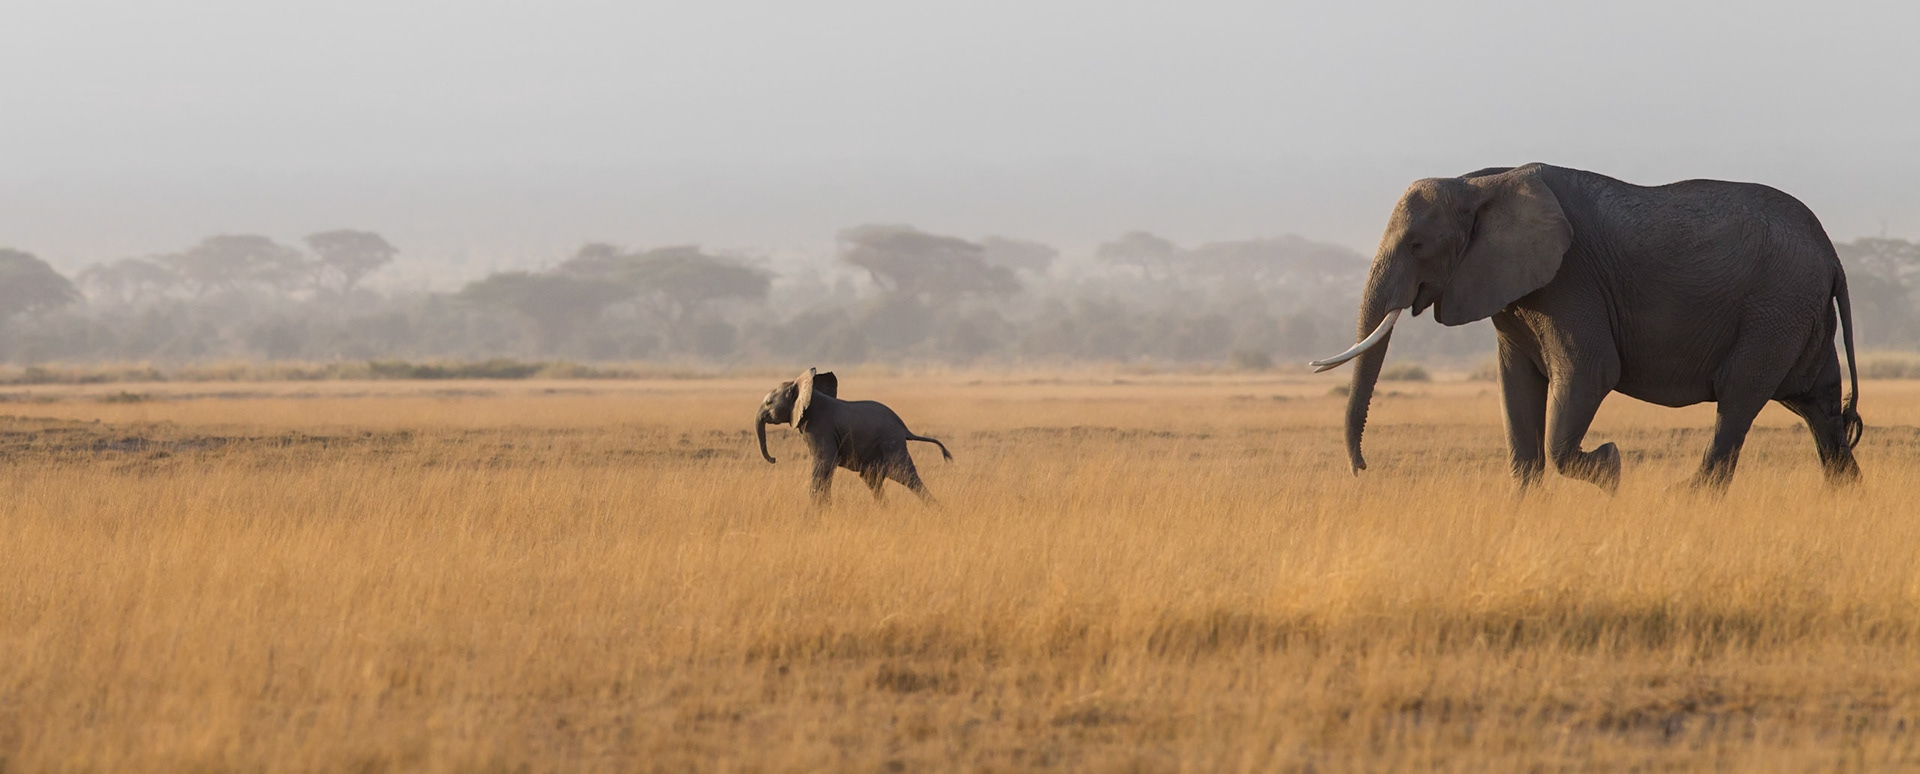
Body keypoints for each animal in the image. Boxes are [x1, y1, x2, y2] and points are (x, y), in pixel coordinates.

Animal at [756, 367, 952, 506]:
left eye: (768, 403)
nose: (774, 459)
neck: (806, 388)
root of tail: (905, 429)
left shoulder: (820, 427)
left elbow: (824, 462)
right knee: (873, 479)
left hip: (891, 443)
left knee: (906, 477)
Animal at [1311, 163, 1862, 492]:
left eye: (1417, 246)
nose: (1363, 472)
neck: (1482, 181)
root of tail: (1833, 255)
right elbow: (1516, 389)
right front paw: (1523, 508)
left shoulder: (1570, 280)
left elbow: (1591, 372)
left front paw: (1611, 466)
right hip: (1799, 314)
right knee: (1818, 406)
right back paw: (1846, 497)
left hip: (1775, 309)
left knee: (1740, 398)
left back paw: (1688, 498)